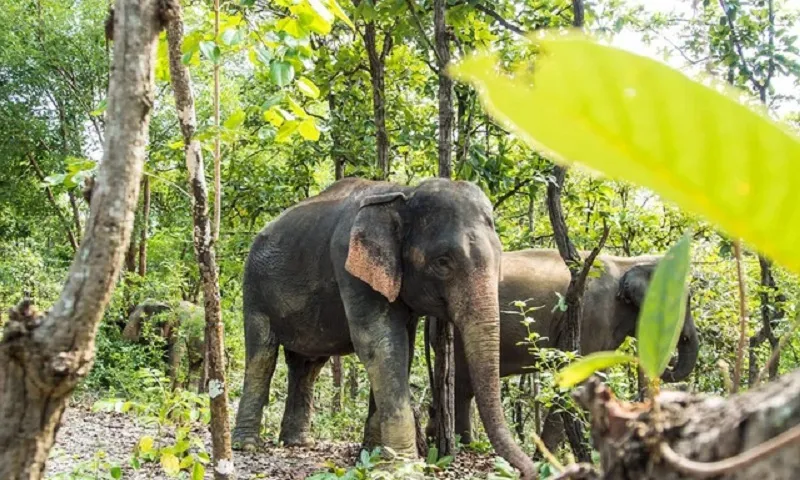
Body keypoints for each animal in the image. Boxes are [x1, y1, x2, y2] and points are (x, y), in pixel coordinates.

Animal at [228, 177, 536, 480]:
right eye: (443, 262)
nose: (530, 471)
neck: (403, 193)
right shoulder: (349, 265)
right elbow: (381, 343)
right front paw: (402, 467)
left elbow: (402, 348)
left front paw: (373, 455)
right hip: (254, 288)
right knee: (263, 355)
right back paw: (246, 445)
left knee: (307, 366)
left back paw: (299, 443)